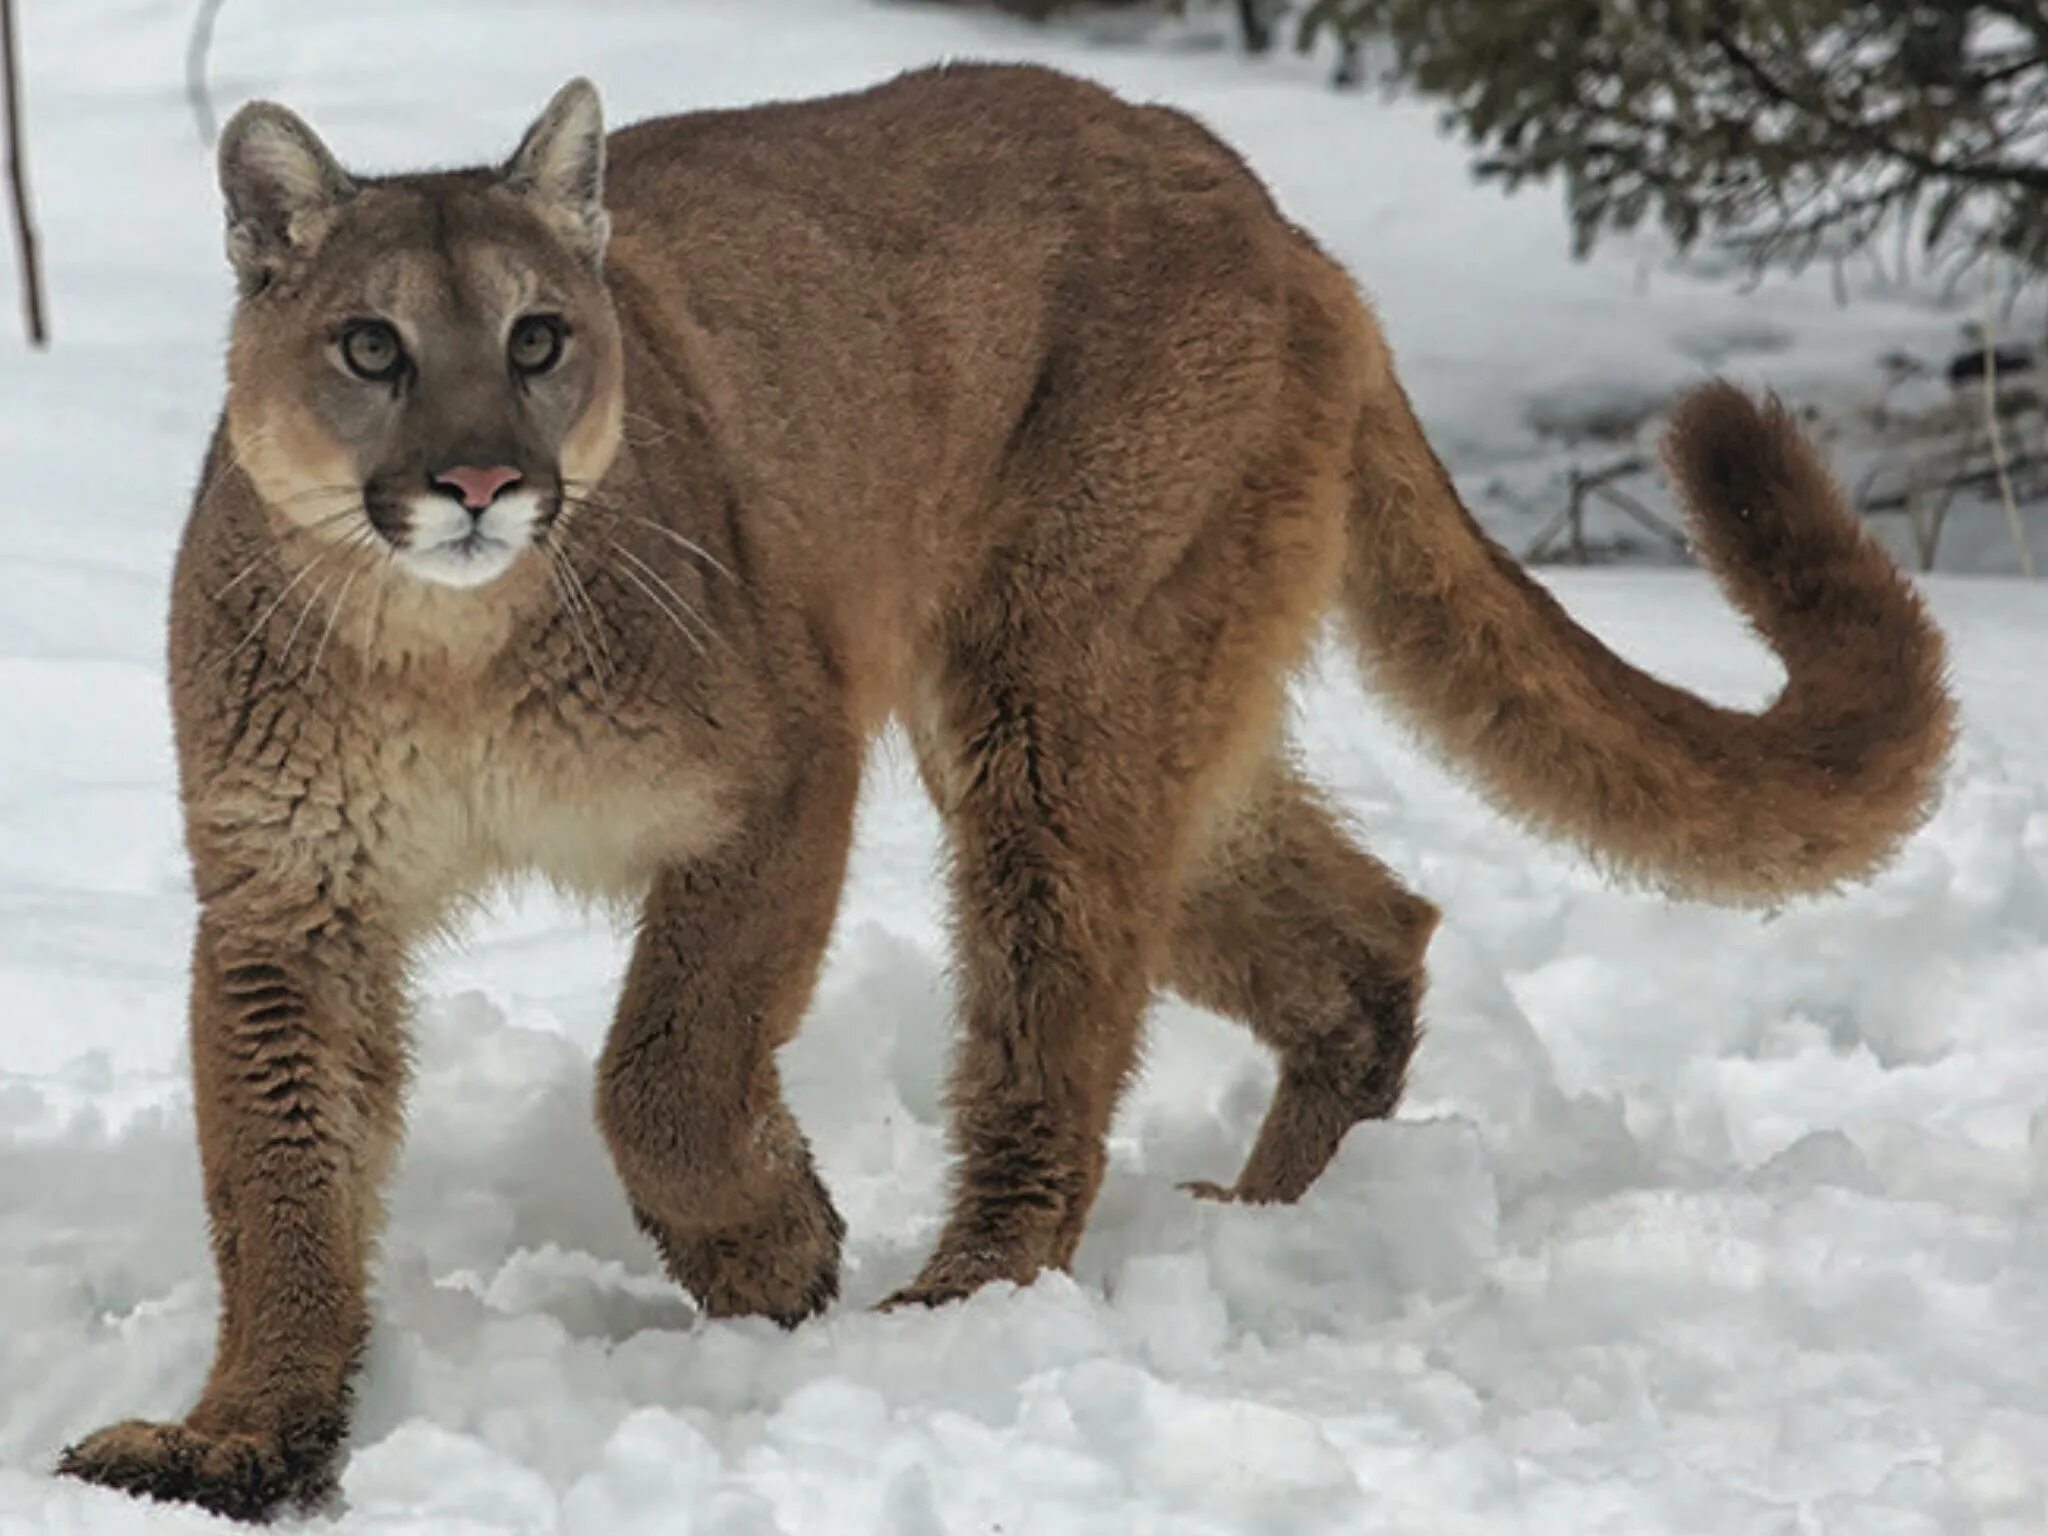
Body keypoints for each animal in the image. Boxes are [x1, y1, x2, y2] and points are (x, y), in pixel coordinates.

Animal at [59, 63, 1949, 1531]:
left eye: (537, 338)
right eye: (371, 346)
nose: (475, 480)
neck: (441, 647)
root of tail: (1266, 208)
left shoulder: (781, 771)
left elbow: (664, 1067)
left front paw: (773, 1253)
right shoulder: (289, 897)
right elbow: (277, 1180)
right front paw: (246, 1438)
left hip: (1056, 695)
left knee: (1066, 1027)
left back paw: (960, 1301)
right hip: (1148, 714)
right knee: (1372, 934)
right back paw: (1271, 1219)